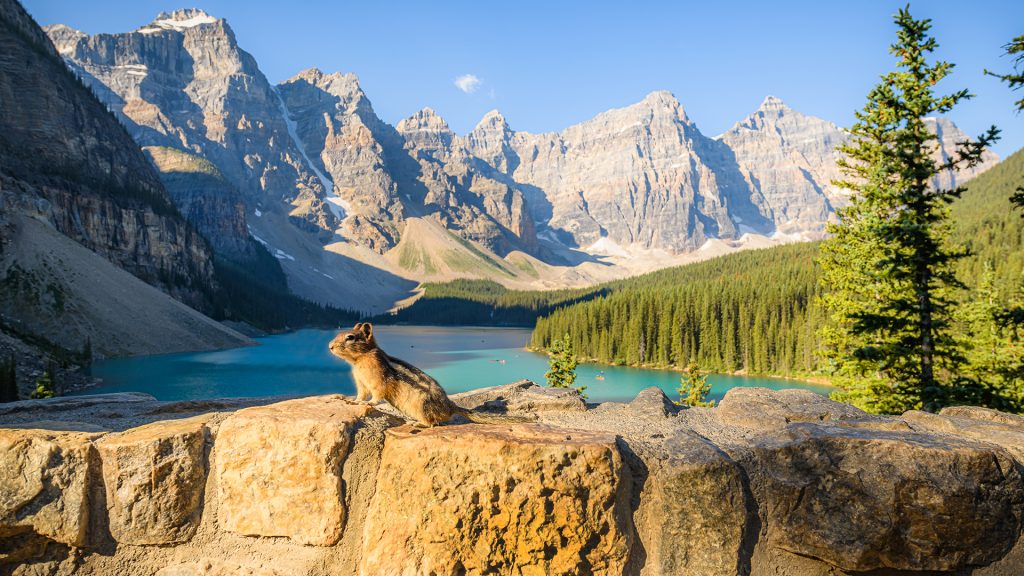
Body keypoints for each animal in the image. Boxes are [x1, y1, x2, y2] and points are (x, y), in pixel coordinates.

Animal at [329, 323, 534, 427]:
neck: (359, 360)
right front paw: (352, 401)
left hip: (421, 406)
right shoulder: (361, 383)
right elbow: (361, 394)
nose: (330, 346)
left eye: (350, 337)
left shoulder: (379, 379)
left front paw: (368, 404)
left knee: (432, 423)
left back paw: (417, 424)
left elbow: (377, 395)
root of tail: (450, 407)